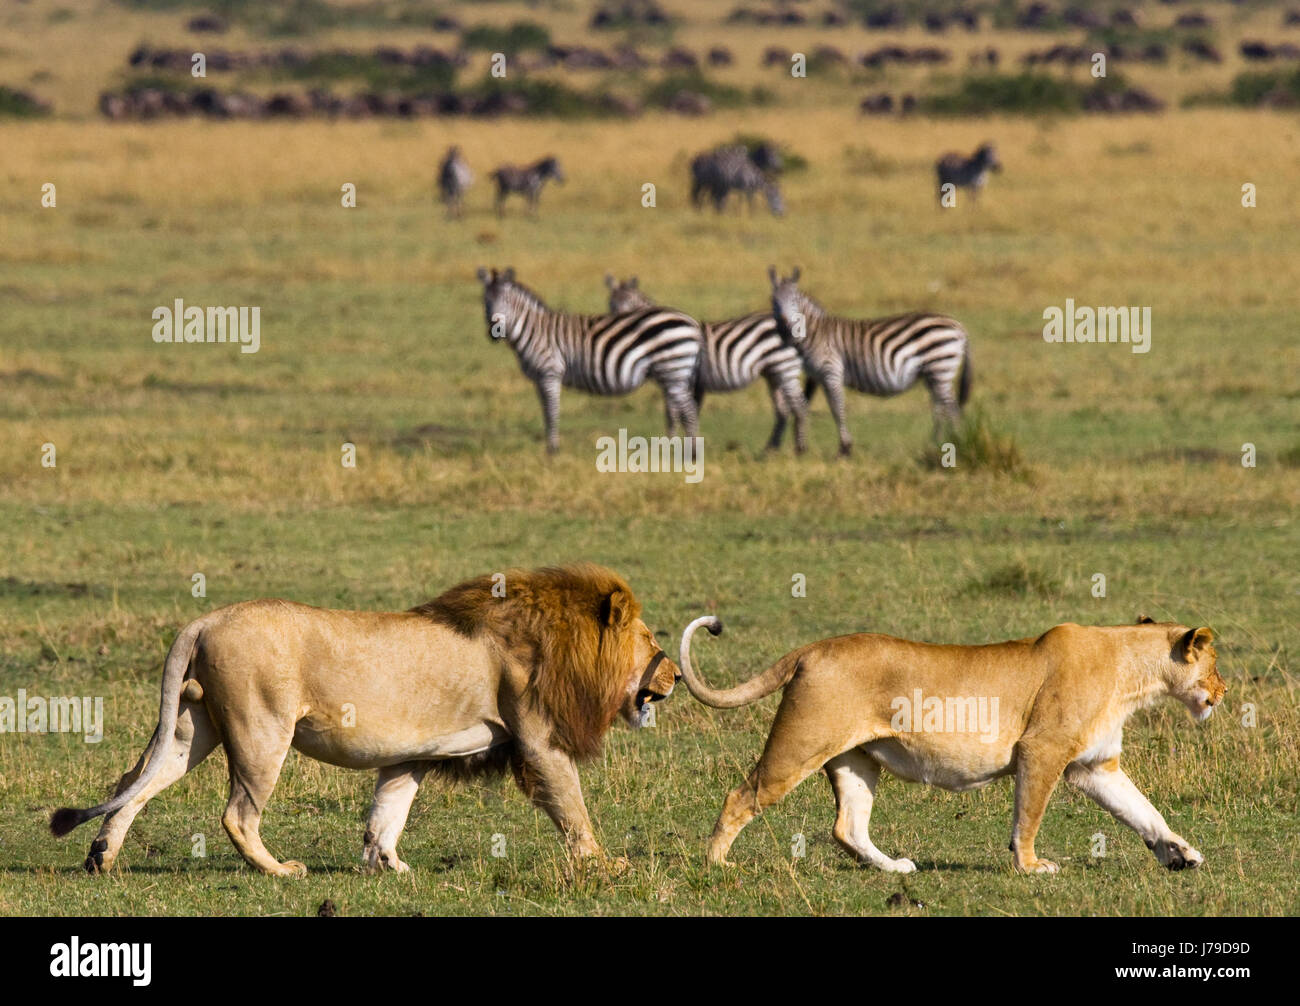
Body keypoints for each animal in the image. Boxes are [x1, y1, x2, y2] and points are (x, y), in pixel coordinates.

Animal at [50, 564, 681, 877]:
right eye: (651, 638)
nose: (675, 674)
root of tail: (204, 620)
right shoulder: (538, 738)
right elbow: (572, 806)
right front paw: (605, 864)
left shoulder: (411, 755)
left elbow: (388, 811)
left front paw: (389, 865)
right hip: (262, 729)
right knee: (236, 814)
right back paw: (280, 871)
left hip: (191, 727)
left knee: (133, 782)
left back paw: (102, 858)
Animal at [678, 614, 1225, 874]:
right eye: (1215, 663)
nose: (1223, 693)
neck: (1133, 674)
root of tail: (813, 647)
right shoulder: (1042, 750)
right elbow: (1029, 815)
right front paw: (1031, 866)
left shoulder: (1095, 765)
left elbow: (1144, 811)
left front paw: (1180, 853)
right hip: (799, 745)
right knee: (740, 796)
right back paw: (717, 865)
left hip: (855, 760)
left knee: (847, 828)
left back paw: (895, 867)